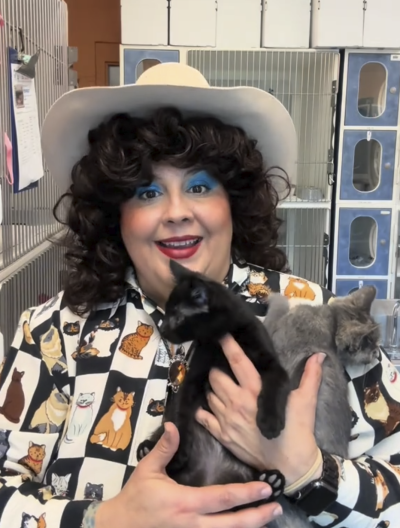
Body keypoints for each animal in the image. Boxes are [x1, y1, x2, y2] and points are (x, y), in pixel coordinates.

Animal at [136, 262, 290, 500]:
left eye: (177, 317)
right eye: (167, 313)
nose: (163, 329)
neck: (221, 338)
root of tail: (209, 479)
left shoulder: (271, 362)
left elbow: (278, 382)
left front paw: (270, 421)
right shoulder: (192, 380)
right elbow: (180, 417)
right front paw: (178, 454)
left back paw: (272, 481)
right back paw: (146, 449)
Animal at [264, 286, 380, 524]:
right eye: (371, 345)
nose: (376, 354)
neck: (329, 320)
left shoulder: (273, 329)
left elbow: (278, 306)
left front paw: (272, 297)